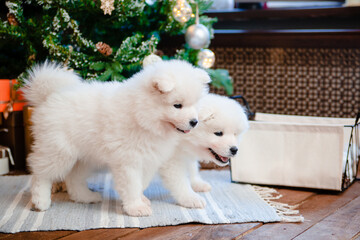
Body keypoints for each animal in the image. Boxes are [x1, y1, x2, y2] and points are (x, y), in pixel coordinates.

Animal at [23, 59, 210, 216]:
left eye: (195, 103)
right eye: (177, 105)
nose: (194, 122)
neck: (141, 115)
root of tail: (49, 96)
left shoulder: (149, 158)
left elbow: (141, 183)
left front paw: (140, 200)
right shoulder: (128, 160)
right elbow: (132, 184)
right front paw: (136, 207)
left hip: (85, 157)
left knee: (73, 178)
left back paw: (86, 197)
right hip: (59, 151)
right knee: (40, 174)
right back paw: (40, 201)